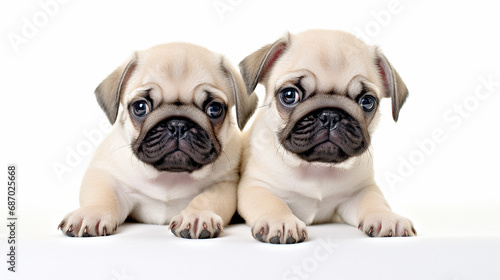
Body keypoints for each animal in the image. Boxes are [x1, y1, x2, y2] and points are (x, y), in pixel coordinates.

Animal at [58, 42, 258, 238]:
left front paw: (197, 216)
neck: (169, 176)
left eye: (214, 109)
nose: (178, 125)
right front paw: (91, 214)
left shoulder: (224, 183)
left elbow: (208, 198)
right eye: (140, 107)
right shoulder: (105, 175)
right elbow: (102, 195)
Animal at [236, 30, 416, 243]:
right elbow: (272, 203)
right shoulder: (256, 187)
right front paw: (280, 221)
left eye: (367, 102)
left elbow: (375, 201)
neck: (317, 168)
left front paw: (387, 217)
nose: (330, 115)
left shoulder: (360, 192)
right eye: (289, 95)